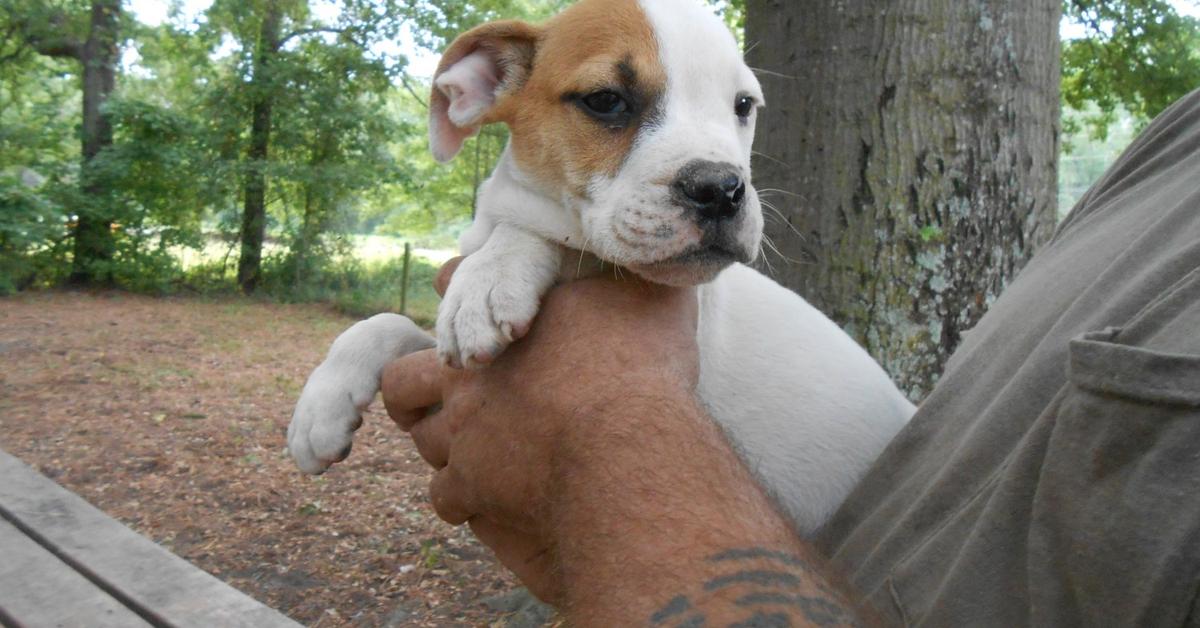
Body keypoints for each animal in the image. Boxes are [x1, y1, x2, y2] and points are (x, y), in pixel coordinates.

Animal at [288, 0, 907, 535]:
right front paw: (321, 406)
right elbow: (384, 323)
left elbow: (540, 239)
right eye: (606, 100)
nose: (722, 189)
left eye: (742, 106)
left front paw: (489, 278)